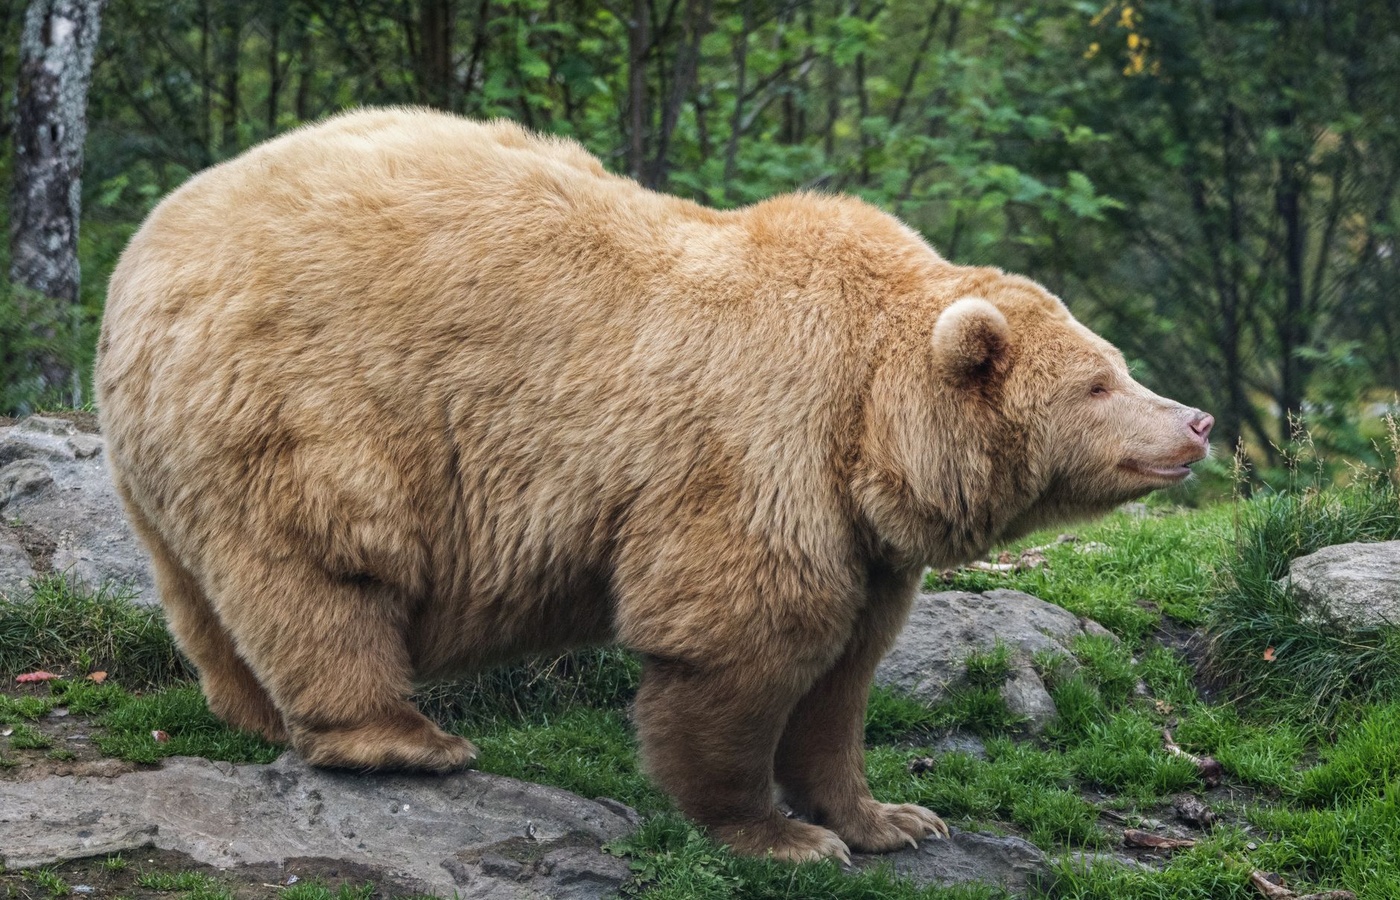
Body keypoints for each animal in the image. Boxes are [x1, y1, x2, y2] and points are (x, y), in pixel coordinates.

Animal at [95, 107, 1212, 863]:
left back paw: (255, 714)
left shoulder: (860, 533)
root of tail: (141, 259)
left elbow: (846, 676)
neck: (867, 419)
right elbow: (743, 638)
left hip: (172, 466)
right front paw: (773, 832)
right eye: (1100, 381)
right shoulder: (758, 447)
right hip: (305, 405)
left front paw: (891, 816)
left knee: (206, 595)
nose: (1195, 421)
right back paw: (401, 740)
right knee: (328, 566)